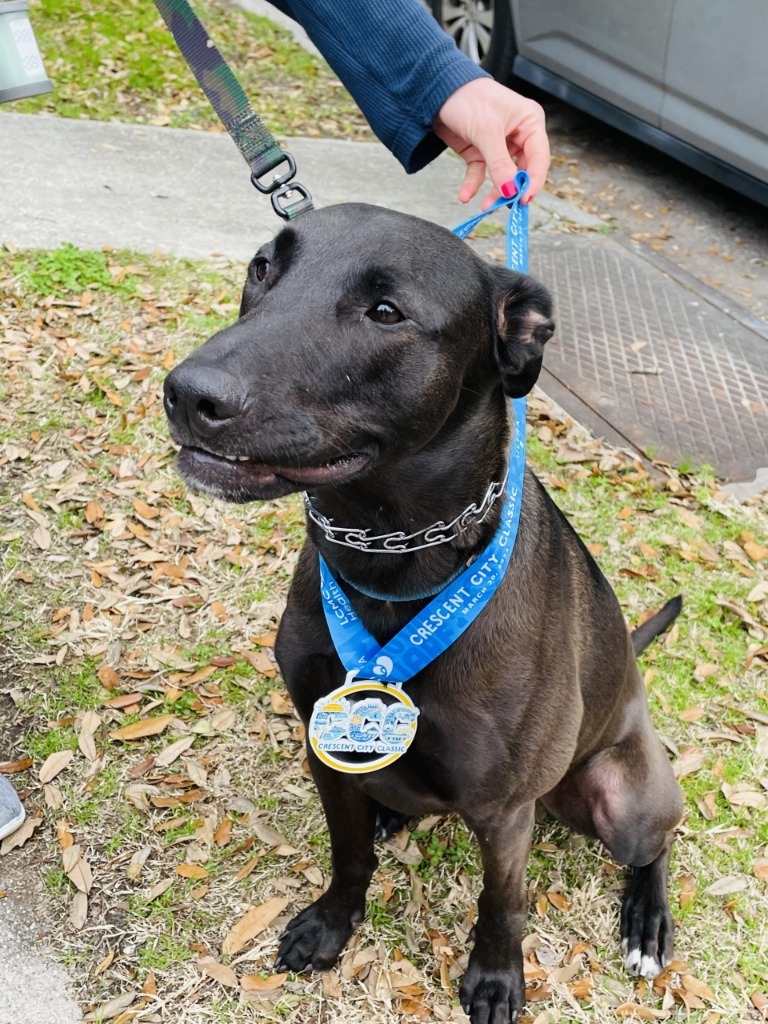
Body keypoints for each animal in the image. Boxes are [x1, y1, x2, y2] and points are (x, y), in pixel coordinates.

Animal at [165, 203, 684, 1019]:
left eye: (386, 311)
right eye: (262, 267)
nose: (188, 394)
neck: (390, 568)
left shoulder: (506, 811)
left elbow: (502, 904)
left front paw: (498, 978)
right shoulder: (326, 749)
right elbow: (348, 855)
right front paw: (332, 925)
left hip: (619, 799)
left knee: (657, 845)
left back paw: (647, 924)